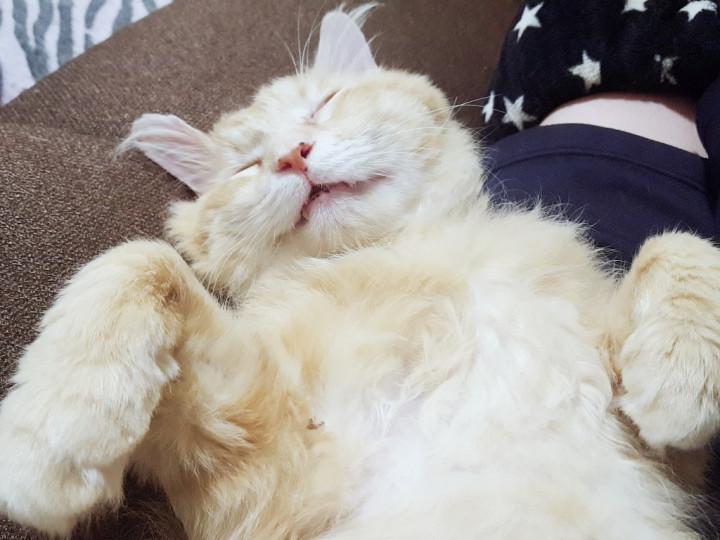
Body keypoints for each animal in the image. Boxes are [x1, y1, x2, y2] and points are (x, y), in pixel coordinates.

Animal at [2, 4, 720, 539]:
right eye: (247, 167)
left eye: (324, 104)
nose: (293, 155)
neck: (412, 259)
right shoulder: (282, 473)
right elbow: (137, 258)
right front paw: (52, 435)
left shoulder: (673, 456)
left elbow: (678, 245)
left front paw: (681, 373)